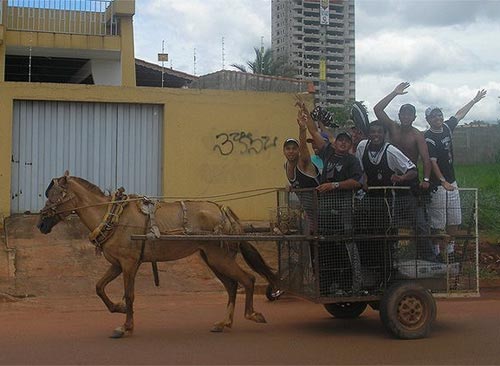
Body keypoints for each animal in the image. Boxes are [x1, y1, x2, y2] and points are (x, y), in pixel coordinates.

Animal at [37, 172, 280, 338]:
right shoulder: (117, 264)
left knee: (248, 280)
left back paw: (252, 315)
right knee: (232, 286)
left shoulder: (129, 263)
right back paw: (224, 323)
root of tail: (226, 213)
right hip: (211, 258)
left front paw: (126, 327)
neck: (112, 217)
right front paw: (118, 308)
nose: (40, 224)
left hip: (220, 257)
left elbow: (130, 294)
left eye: (54, 197)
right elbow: (99, 287)